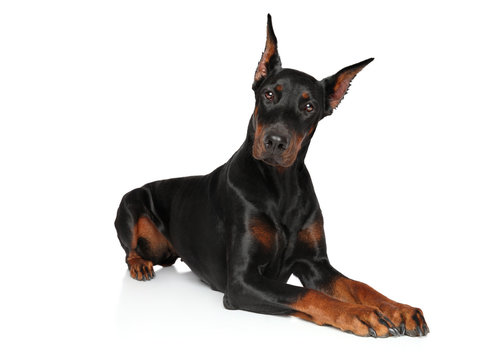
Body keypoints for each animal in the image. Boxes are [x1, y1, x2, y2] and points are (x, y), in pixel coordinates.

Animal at [115, 14, 430, 338]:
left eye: (309, 106)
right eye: (268, 94)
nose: (276, 142)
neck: (281, 185)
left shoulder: (315, 263)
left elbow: (359, 285)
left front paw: (398, 308)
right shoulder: (241, 282)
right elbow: (307, 294)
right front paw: (361, 314)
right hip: (130, 201)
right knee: (130, 250)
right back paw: (140, 265)